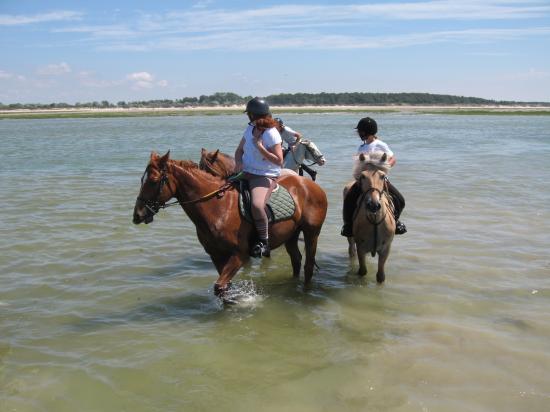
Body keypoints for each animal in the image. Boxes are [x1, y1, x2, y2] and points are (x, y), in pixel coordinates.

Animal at [135, 151, 328, 296]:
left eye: (153, 180)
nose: (137, 215)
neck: (217, 207)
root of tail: (309, 184)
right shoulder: (216, 255)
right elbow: (223, 287)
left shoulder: (239, 255)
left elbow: (220, 286)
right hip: (291, 235)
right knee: (296, 260)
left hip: (312, 233)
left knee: (308, 265)